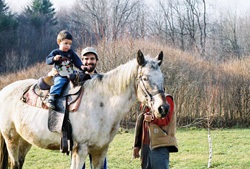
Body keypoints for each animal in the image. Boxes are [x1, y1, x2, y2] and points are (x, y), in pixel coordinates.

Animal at [0, 49, 170, 168]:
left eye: (163, 78)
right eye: (145, 78)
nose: (163, 108)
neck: (102, 104)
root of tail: (4, 90)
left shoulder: (100, 150)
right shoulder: (80, 150)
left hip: (24, 141)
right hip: (12, 139)